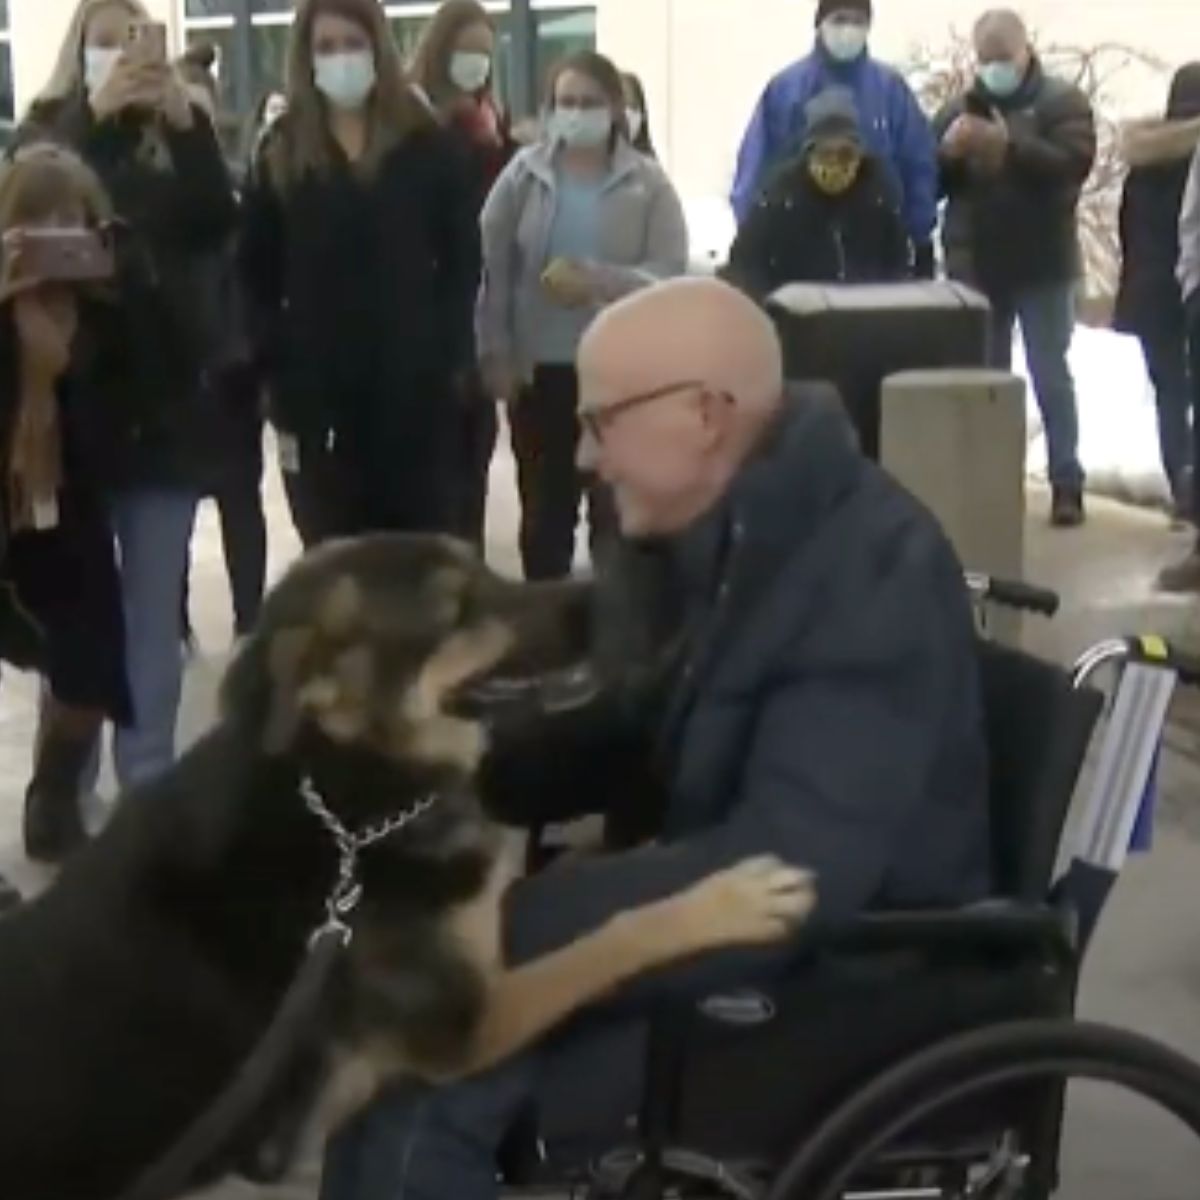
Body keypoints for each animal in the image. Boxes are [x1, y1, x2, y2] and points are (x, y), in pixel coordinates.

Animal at [0, 537, 816, 1200]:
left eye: (484, 569)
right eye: (457, 609)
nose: (616, 593)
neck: (350, 805)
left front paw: (641, 845)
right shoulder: (474, 1024)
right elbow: (614, 934)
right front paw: (729, 898)